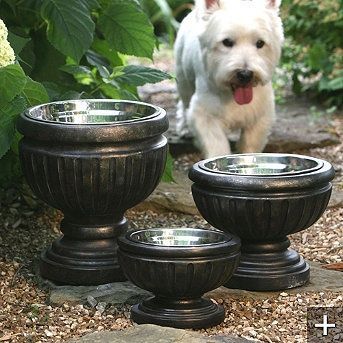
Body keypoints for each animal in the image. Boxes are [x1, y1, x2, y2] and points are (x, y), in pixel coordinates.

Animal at [175, 0, 284, 158]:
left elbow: (250, 144)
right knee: (183, 102)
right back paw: (184, 128)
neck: (232, 94)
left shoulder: (260, 115)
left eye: (260, 43)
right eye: (226, 42)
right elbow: (216, 144)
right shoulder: (205, 113)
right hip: (183, 78)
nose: (245, 74)